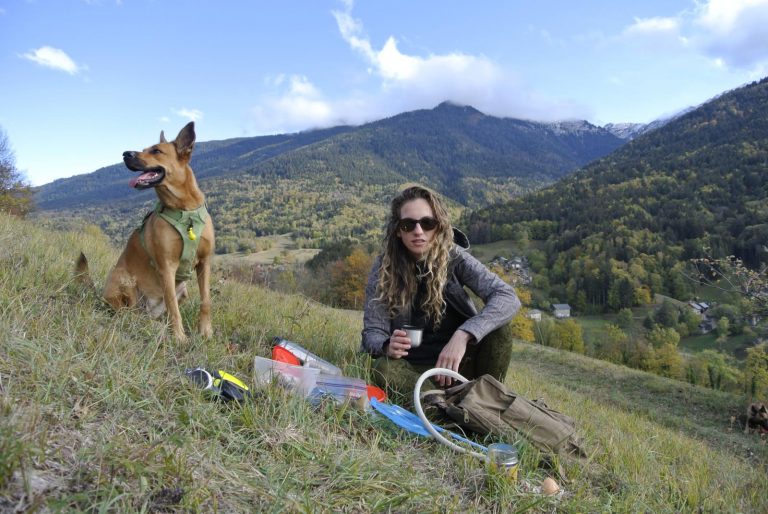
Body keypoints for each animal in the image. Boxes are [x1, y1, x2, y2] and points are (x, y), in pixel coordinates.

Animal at [76, 122, 213, 340]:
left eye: (156, 151)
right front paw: (180, 338)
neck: (185, 212)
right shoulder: (167, 267)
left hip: (181, 290)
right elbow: (174, 308)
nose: (125, 154)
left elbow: (205, 301)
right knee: (128, 313)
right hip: (124, 278)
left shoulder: (205, 262)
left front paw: (206, 333)